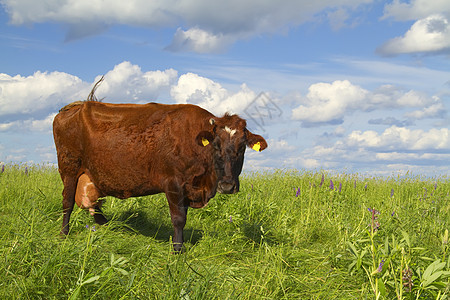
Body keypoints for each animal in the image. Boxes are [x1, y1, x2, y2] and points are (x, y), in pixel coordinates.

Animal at [51, 80, 268, 253]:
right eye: (215, 145)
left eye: (242, 147)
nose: (227, 186)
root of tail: (77, 105)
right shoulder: (173, 183)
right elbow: (178, 218)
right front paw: (177, 250)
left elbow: (183, 217)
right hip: (69, 169)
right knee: (67, 202)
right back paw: (63, 234)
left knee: (94, 205)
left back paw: (108, 226)